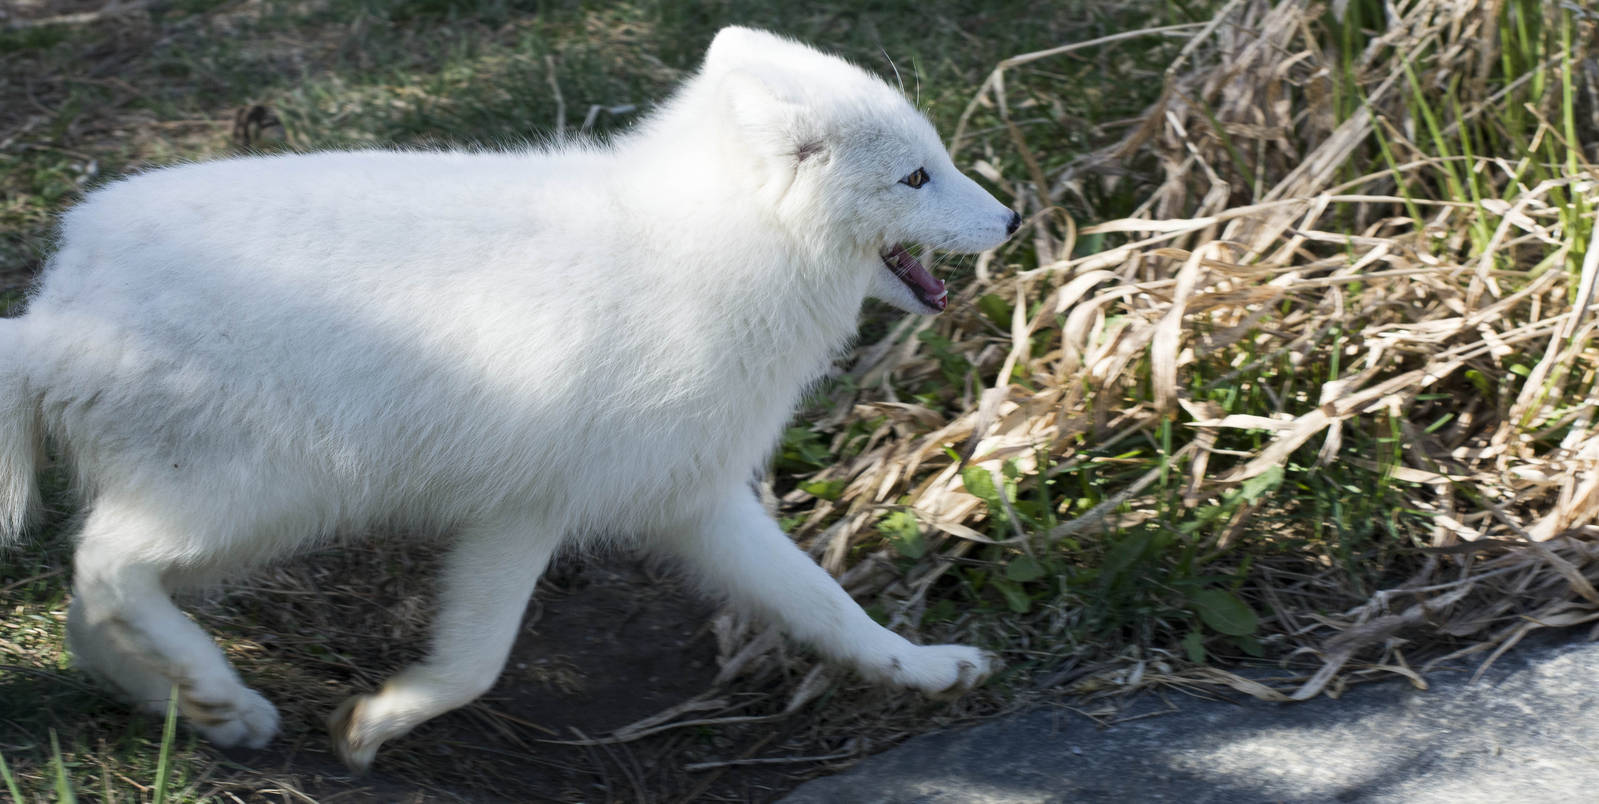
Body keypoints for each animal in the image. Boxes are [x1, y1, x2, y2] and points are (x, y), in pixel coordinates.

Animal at [0, 26, 1020, 770]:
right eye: (916, 176)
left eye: (937, 159)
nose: (1012, 219)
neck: (709, 254)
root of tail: (53, 311)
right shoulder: (528, 510)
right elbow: (476, 665)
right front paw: (375, 725)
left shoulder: (693, 500)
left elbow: (828, 607)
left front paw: (928, 670)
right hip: (253, 503)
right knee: (102, 570)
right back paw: (217, 691)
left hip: (238, 523)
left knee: (84, 616)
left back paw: (208, 714)